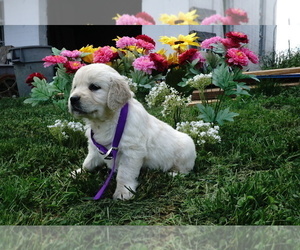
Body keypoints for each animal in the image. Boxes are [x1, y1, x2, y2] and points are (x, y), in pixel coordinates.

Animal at [68, 63, 196, 200]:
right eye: (75, 87)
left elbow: (125, 173)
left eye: (94, 87)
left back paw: (172, 173)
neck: (105, 121)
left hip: (187, 148)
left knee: (186, 170)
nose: (73, 99)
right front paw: (77, 172)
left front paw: (123, 192)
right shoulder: (94, 146)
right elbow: (88, 162)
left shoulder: (132, 151)